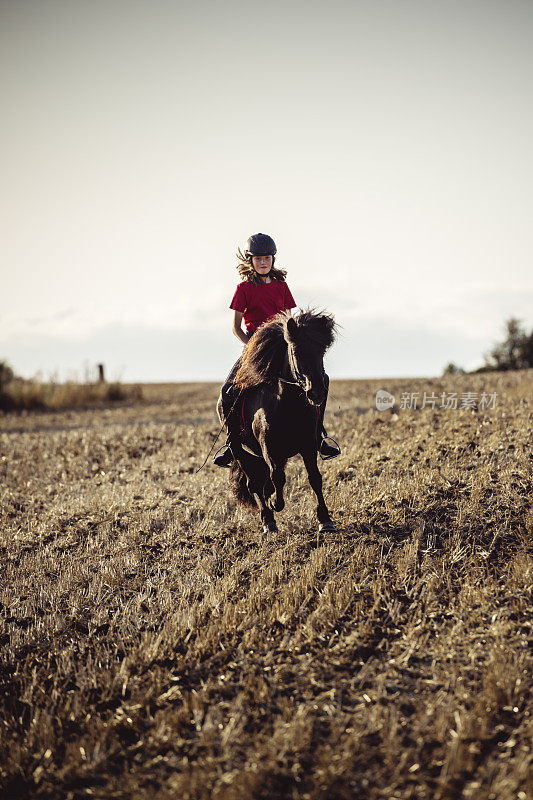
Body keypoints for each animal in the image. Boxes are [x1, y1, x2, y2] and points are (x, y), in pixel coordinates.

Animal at [218, 310, 338, 536]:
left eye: (322, 351)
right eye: (296, 351)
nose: (316, 392)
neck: (287, 404)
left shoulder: (309, 445)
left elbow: (314, 478)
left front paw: (325, 520)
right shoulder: (269, 449)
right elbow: (277, 478)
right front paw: (275, 503)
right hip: (240, 451)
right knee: (254, 484)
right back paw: (268, 521)